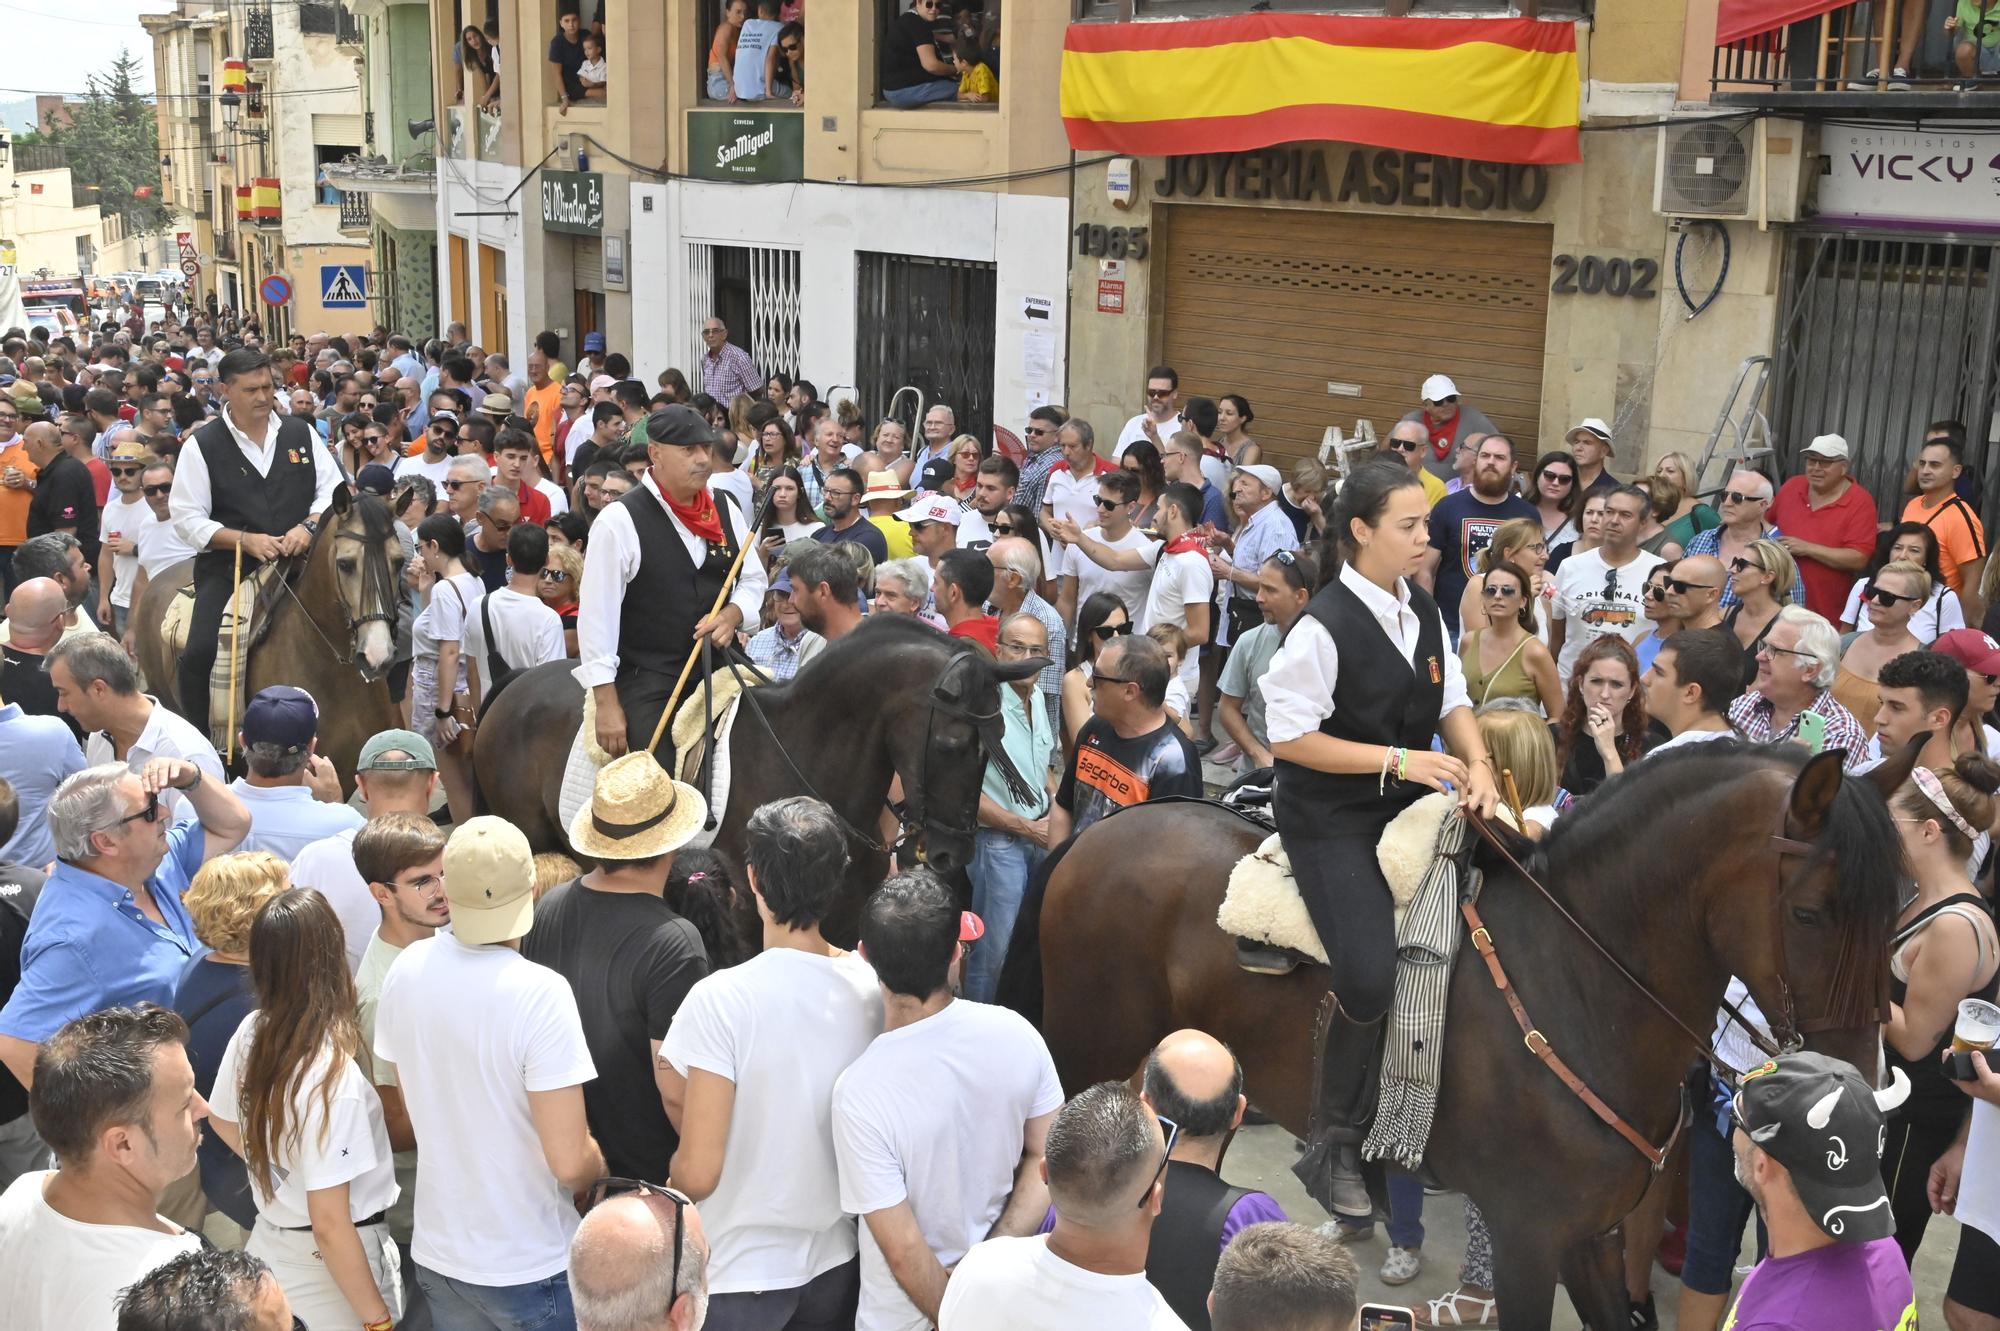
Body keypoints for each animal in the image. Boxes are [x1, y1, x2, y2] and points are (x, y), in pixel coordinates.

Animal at [1024, 739, 1912, 1319]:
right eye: (1810, 912)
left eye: (1897, 910)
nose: (1855, 1095)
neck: (1581, 982)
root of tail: (1105, 828)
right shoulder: (1528, 1240)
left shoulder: (1593, 1236)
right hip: (1089, 1045)